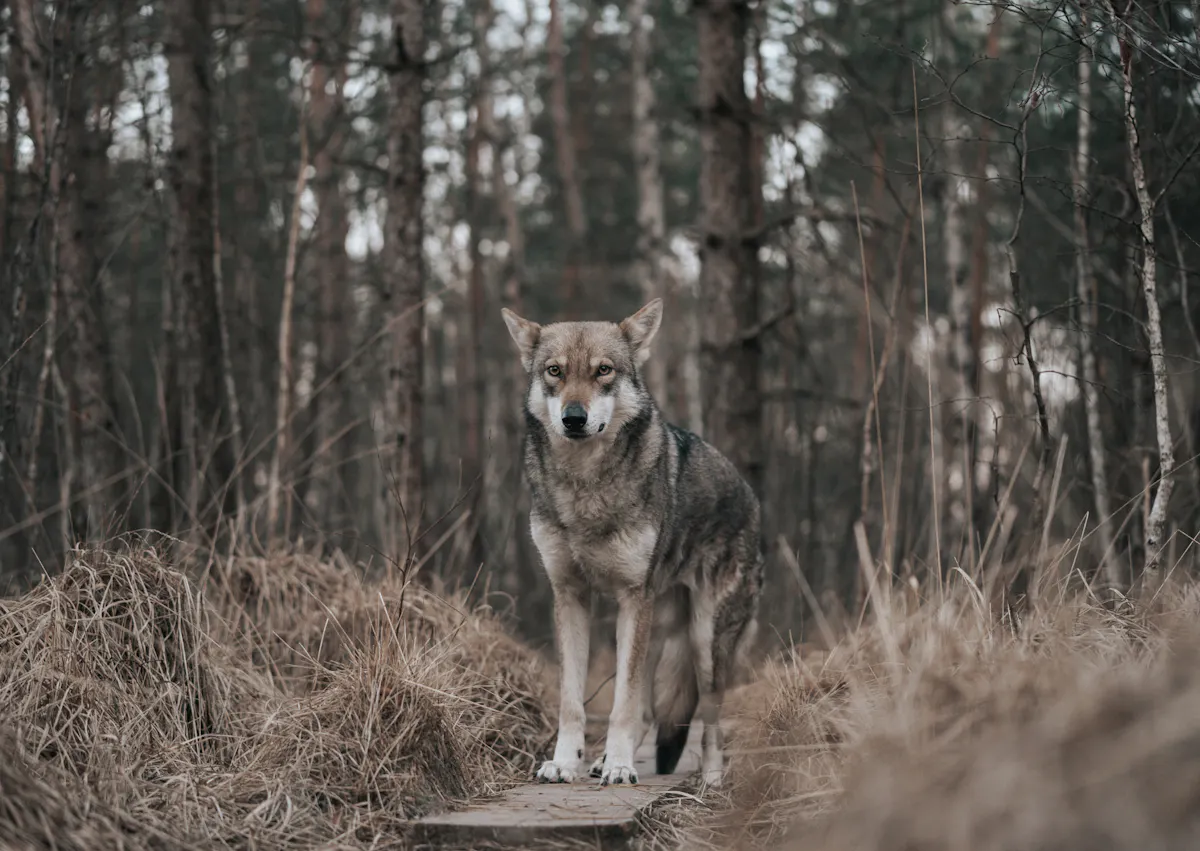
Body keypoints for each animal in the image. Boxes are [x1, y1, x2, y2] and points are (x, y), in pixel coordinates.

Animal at [501, 298, 764, 788]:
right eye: (554, 371)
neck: (586, 486)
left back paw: (710, 779)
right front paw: (565, 763)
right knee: (647, 708)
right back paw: (603, 760)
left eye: (604, 370)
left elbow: (621, 703)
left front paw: (621, 767)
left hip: (703, 640)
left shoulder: (630, 597)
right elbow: (573, 701)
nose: (573, 418)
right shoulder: (570, 597)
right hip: (655, 625)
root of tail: (751, 496)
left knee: (710, 719)